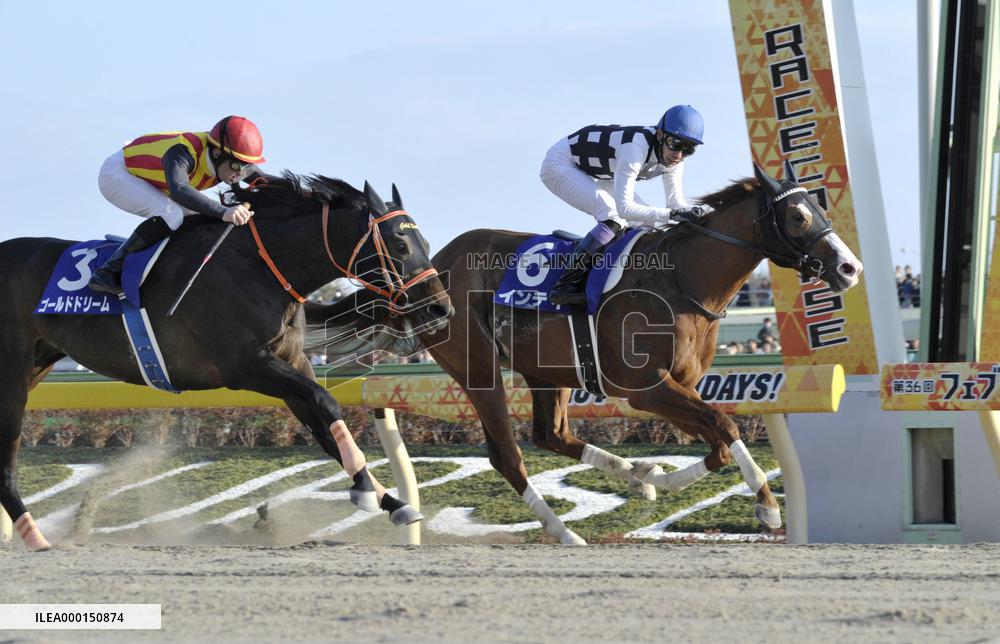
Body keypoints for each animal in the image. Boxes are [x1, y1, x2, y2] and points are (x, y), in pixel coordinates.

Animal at [0, 173, 453, 551]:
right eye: (399, 245)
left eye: (427, 245)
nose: (440, 309)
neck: (260, 268)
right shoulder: (245, 367)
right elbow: (326, 403)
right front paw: (366, 491)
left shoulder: (291, 365)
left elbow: (324, 428)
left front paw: (390, 500)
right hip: (14, 377)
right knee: (7, 463)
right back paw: (35, 537)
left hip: (38, 363)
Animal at [412, 162, 862, 544]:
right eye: (797, 216)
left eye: (820, 208)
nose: (850, 268)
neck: (680, 282)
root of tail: (435, 264)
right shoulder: (646, 388)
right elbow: (724, 424)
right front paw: (767, 506)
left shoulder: (678, 386)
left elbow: (718, 443)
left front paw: (653, 478)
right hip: (479, 371)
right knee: (507, 455)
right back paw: (565, 531)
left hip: (545, 369)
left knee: (551, 435)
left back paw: (633, 474)